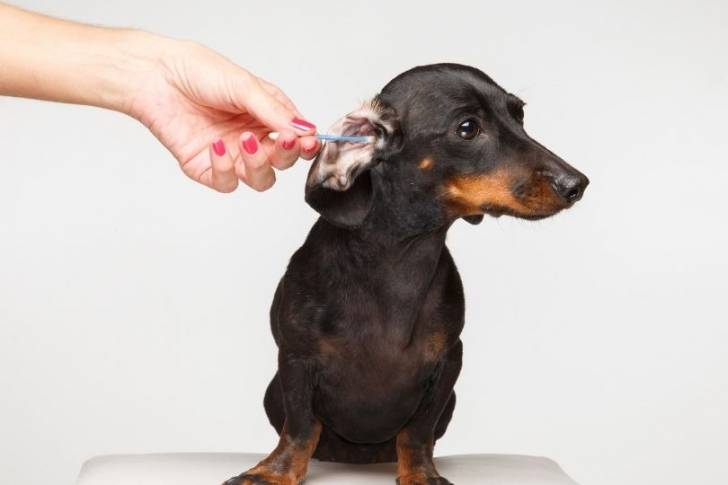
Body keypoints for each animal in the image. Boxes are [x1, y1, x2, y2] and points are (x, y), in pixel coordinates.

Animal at [224, 63, 589, 485]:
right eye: (468, 128)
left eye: (520, 116)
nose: (577, 184)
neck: (400, 257)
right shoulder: (295, 358)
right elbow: (300, 426)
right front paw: (276, 471)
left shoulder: (448, 362)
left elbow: (417, 432)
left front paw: (420, 473)